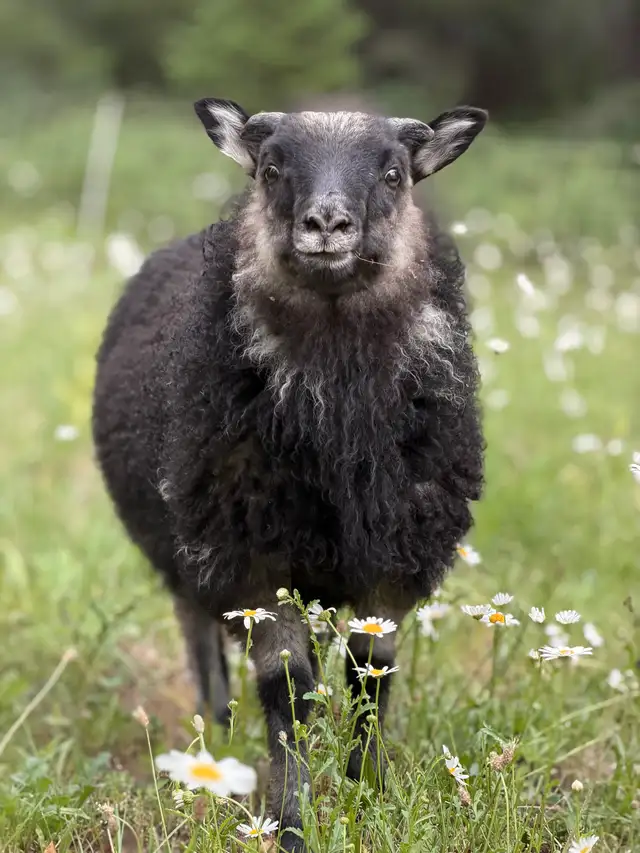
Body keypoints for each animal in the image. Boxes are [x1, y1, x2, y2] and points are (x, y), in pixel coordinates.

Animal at [92, 97, 487, 850]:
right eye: (272, 168)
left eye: (393, 174)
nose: (327, 223)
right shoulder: (254, 563)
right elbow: (291, 699)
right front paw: (293, 823)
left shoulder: (391, 567)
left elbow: (370, 682)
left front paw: (371, 795)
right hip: (187, 548)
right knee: (199, 637)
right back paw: (215, 738)